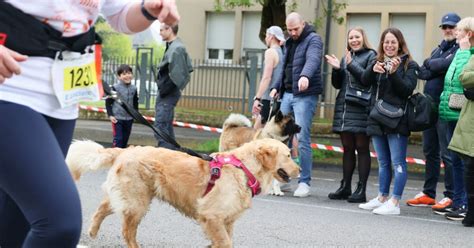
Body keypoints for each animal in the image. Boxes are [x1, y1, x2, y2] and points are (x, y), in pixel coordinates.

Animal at [66, 139, 298, 247]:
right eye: (288, 155)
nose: (300, 170)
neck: (244, 168)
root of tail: (126, 149)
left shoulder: (227, 221)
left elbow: (226, 241)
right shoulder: (212, 216)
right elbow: (224, 242)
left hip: (132, 196)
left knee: (104, 207)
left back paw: (92, 231)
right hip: (137, 202)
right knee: (127, 231)